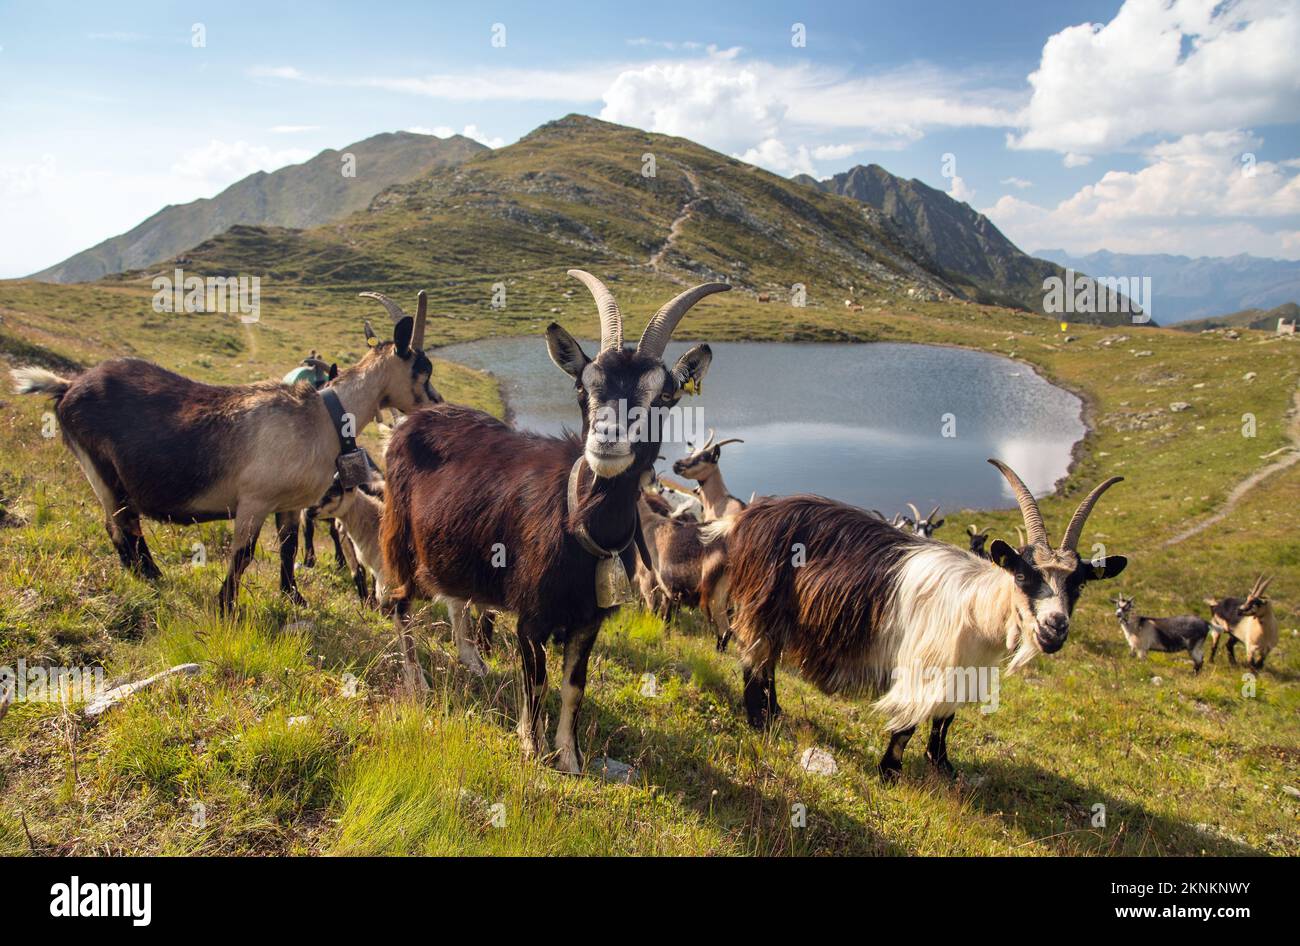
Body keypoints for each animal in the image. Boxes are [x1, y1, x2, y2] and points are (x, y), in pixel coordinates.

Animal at [11, 292, 439, 612]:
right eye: (423, 369)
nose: (435, 404)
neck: (323, 416)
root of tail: (66, 386)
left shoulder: (288, 504)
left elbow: (286, 548)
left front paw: (294, 598)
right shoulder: (254, 499)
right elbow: (243, 555)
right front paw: (226, 606)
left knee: (122, 526)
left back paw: (150, 576)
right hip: (100, 470)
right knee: (121, 527)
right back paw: (148, 578)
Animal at [382, 270, 724, 772]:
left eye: (664, 395)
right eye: (584, 388)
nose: (606, 439)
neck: (578, 521)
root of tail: (409, 422)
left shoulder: (588, 621)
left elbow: (573, 688)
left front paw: (570, 757)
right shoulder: (531, 616)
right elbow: (537, 681)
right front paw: (530, 745)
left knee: (454, 600)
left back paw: (471, 662)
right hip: (402, 540)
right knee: (399, 603)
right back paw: (418, 681)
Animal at [707, 460, 1126, 780]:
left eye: (1078, 583)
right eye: (1023, 575)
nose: (1055, 627)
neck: (975, 607)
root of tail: (750, 517)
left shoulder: (961, 670)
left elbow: (945, 719)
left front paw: (942, 765)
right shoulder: (922, 663)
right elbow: (908, 724)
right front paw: (889, 772)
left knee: (769, 660)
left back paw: (775, 712)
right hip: (760, 603)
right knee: (754, 659)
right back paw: (759, 719)